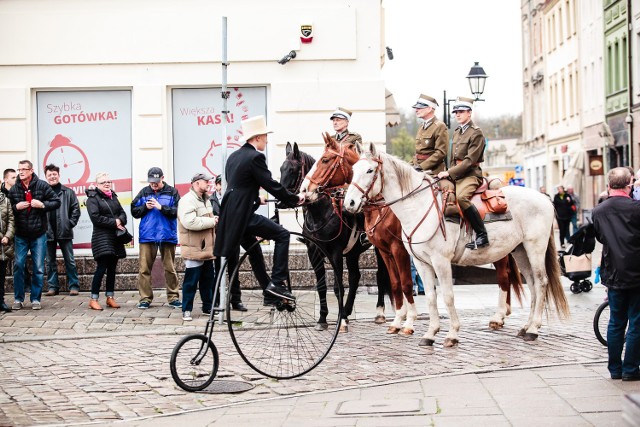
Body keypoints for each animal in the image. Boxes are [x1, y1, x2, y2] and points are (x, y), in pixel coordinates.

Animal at [302, 135, 528, 336]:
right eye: (354, 169)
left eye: (325, 160)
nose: (304, 191)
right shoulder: (384, 250)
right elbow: (395, 284)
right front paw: (398, 320)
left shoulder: (398, 249)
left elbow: (406, 283)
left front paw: (409, 321)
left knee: (503, 276)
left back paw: (499, 316)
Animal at [344, 144, 568, 348]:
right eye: (353, 169)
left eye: (370, 170)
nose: (350, 203)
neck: (418, 205)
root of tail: (543, 197)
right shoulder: (421, 262)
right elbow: (431, 296)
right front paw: (430, 333)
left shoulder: (439, 261)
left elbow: (447, 296)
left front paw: (451, 334)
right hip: (520, 251)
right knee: (531, 284)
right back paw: (526, 326)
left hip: (534, 248)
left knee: (540, 282)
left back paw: (532, 329)